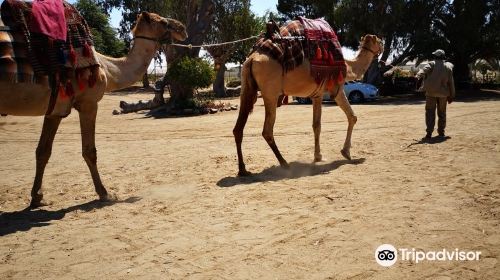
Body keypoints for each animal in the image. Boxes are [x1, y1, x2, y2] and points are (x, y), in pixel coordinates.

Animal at [0, 9, 188, 207]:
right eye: (163, 22)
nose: (183, 28)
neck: (107, 68)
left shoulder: (55, 110)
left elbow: (43, 151)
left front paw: (37, 197)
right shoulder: (88, 103)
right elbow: (89, 151)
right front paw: (104, 193)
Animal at [232, 19, 380, 176]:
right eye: (379, 41)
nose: (381, 47)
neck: (348, 66)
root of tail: (251, 59)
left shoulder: (317, 95)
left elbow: (316, 125)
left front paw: (318, 156)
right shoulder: (337, 89)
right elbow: (352, 117)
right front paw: (346, 153)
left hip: (246, 88)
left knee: (238, 129)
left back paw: (243, 169)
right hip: (270, 93)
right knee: (267, 131)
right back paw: (284, 163)